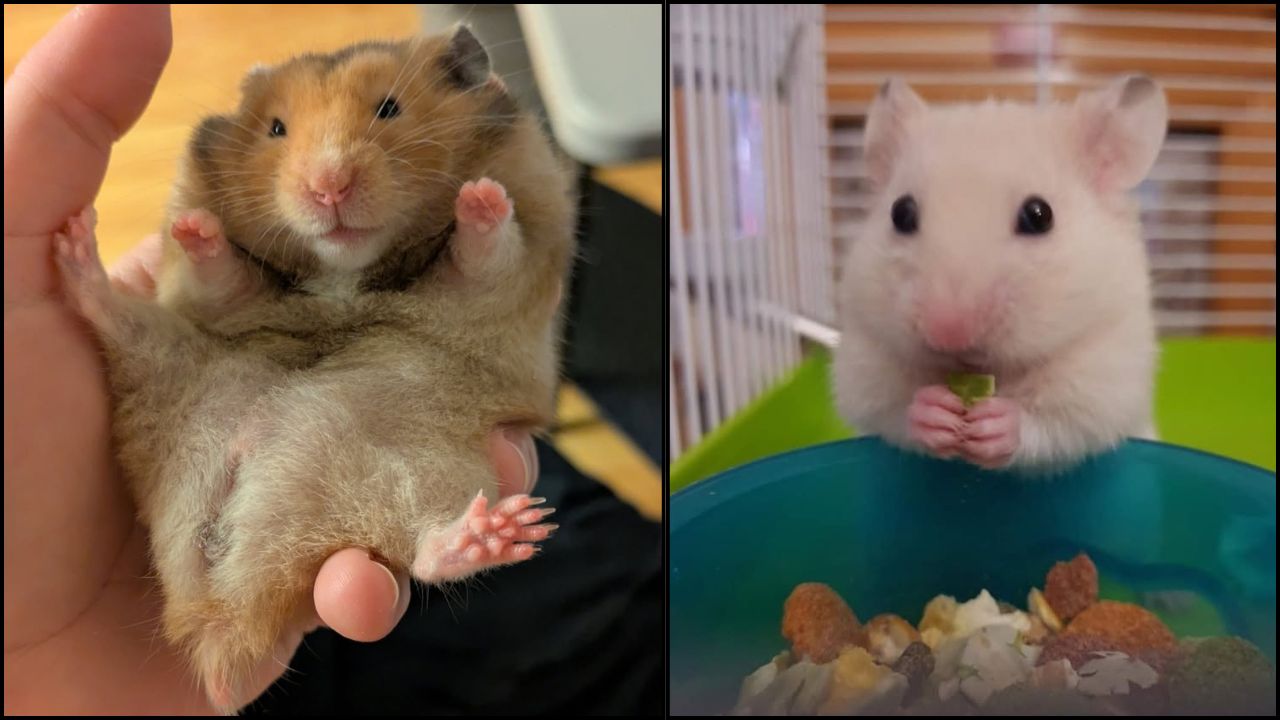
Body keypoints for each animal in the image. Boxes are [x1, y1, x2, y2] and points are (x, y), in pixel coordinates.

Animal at [52, 25, 576, 713]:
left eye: (389, 109)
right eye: (275, 129)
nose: (328, 188)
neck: (344, 274)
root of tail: (218, 608)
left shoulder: (506, 282)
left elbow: (488, 251)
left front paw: (477, 196)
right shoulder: (213, 302)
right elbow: (222, 273)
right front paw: (195, 227)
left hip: (424, 467)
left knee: (425, 548)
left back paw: (504, 530)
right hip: (166, 355)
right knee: (114, 318)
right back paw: (73, 247)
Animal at [832, 75, 1167, 471]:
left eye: (1039, 215)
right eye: (900, 213)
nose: (948, 333)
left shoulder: (1104, 381)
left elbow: (1055, 423)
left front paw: (995, 424)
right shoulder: (863, 367)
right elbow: (894, 410)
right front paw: (936, 413)